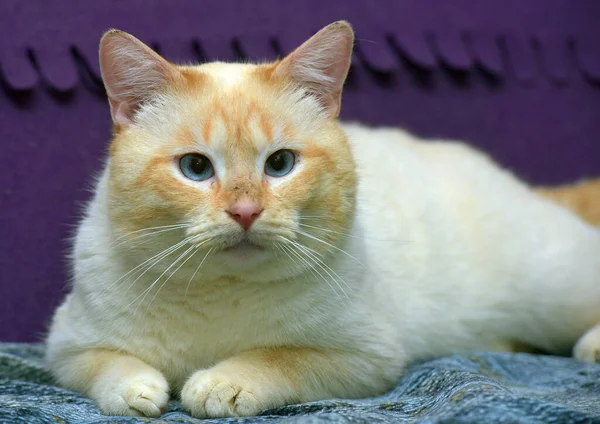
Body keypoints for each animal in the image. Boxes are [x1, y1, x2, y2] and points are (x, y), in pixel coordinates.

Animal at [44, 20, 600, 418]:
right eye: (196, 168)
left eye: (280, 164)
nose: (245, 211)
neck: (221, 293)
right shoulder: (66, 347)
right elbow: (111, 366)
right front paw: (141, 389)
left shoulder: (364, 358)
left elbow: (277, 357)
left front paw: (221, 382)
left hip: (554, 290)